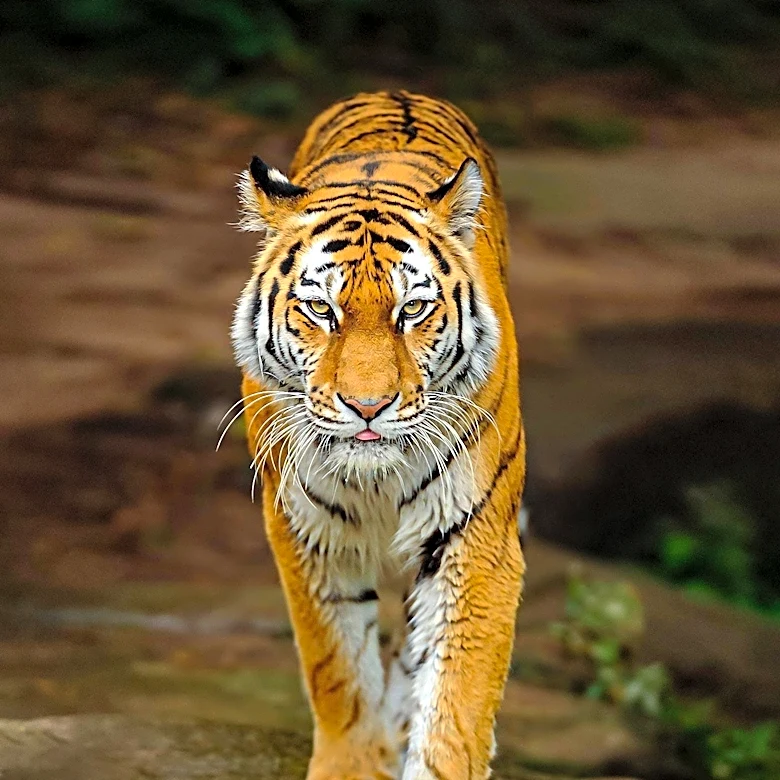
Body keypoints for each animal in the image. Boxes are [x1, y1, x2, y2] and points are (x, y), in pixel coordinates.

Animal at [230, 90, 525, 780]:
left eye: (411, 309)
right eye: (321, 310)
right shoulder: (308, 534)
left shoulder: (476, 539)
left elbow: (456, 702)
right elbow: (338, 671)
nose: (368, 406)